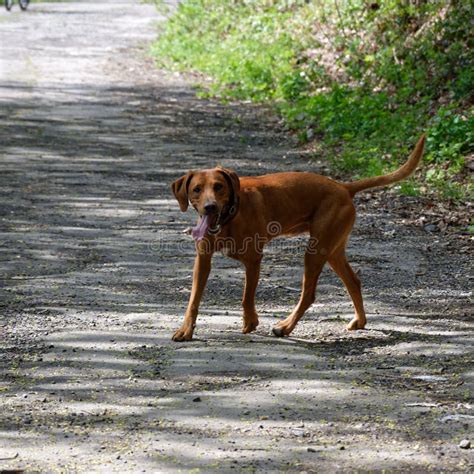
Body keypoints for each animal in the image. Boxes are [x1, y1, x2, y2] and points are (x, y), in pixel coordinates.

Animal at [171, 134, 426, 340]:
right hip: (333, 251)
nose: (210, 207)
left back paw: (285, 327)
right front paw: (186, 330)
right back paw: (360, 321)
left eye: (219, 187)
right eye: (196, 189)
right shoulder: (203, 260)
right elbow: (193, 300)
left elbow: (246, 296)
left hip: (315, 250)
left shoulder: (253, 259)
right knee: (354, 281)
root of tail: (344, 187)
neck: (229, 218)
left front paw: (250, 322)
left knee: (309, 294)